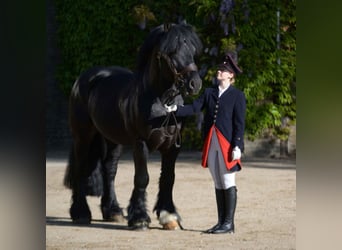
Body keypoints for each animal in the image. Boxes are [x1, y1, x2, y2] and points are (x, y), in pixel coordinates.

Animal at [63, 22, 203, 229]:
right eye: (171, 52)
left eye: (193, 50)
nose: (195, 83)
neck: (161, 102)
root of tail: (84, 79)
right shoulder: (140, 142)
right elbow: (142, 178)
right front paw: (139, 218)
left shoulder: (172, 146)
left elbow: (168, 178)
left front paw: (169, 216)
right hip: (83, 137)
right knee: (80, 168)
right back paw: (81, 212)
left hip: (112, 140)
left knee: (109, 171)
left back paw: (112, 211)